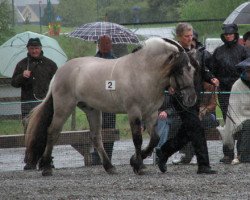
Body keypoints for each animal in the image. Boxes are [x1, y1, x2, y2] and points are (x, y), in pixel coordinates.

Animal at [24, 37, 197, 175]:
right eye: (181, 71)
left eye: (193, 69)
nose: (191, 98)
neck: (144, 71)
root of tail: (59, 73)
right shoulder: (134, 112)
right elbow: (138, 139)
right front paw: (138, 166)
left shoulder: (151, 113)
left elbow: (155, 139)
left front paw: (135, 161)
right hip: (64, 107)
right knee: (52, 133)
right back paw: (46, 168)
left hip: (92, 110)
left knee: (96, 137)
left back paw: (109, 167)